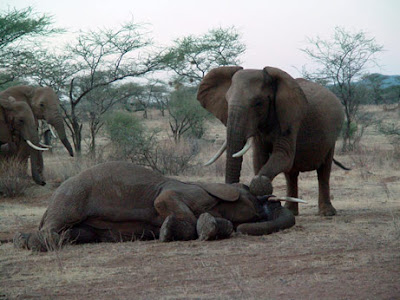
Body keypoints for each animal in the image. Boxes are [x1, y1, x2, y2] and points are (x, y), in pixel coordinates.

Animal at [12, 162, 304, 251]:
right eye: (257, 199)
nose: (273, 202)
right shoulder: (186, 191)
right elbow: (164, 200)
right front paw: (170, 232)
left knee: (78, 234)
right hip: (72, 195)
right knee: (56, 226)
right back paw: (29, 241)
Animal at [198, 66, 346, 216]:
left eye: (258, 103)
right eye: (226, 101)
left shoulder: (291, 119)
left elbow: (282, 155)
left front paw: (259, 183)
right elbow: (259, 158)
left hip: (332, 134)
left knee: (324, 171)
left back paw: (327, 213)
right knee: (291, 174)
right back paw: (291, 211)